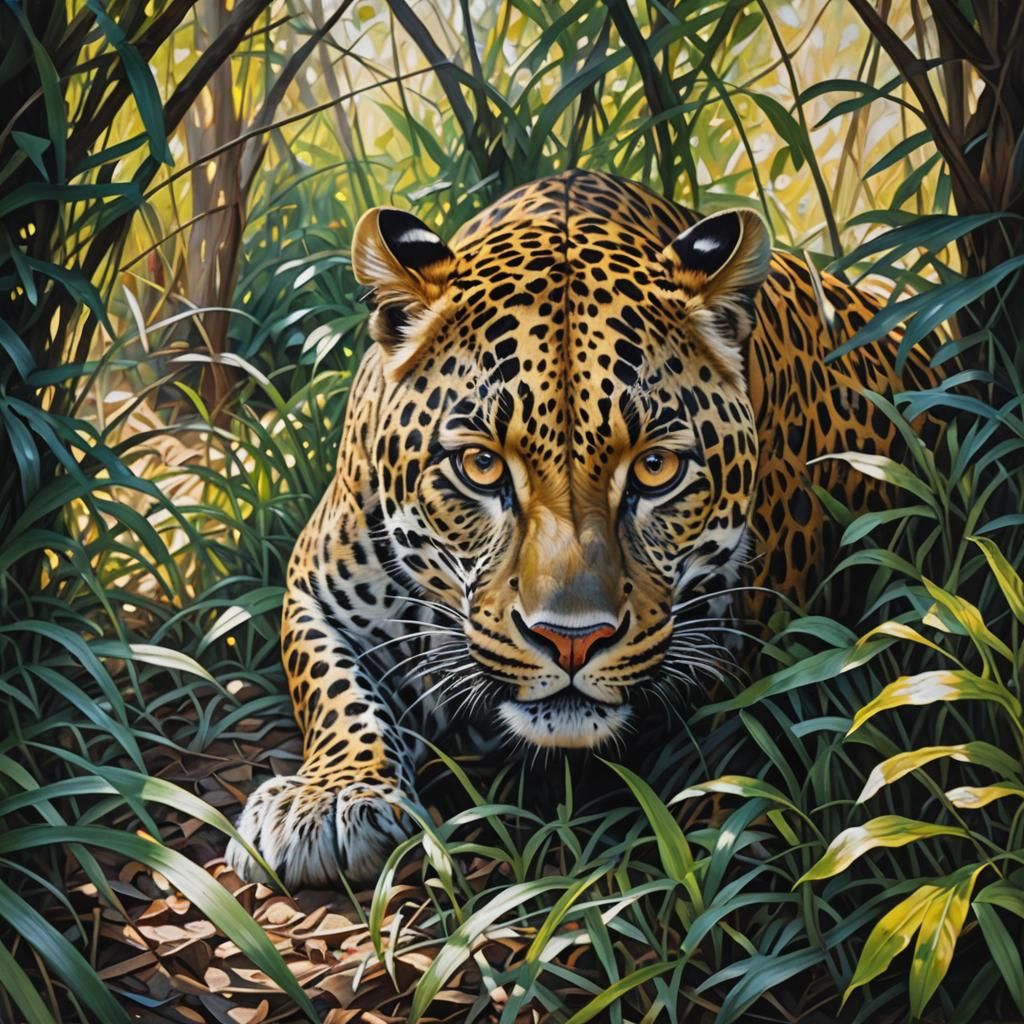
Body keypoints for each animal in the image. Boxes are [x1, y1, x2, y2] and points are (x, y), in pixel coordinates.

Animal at [225, 169, 939, 888]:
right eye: (481, 464)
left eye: (655, 467)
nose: (571, 642)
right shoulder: (316, 591)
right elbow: (333, 689)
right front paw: (331, 796)